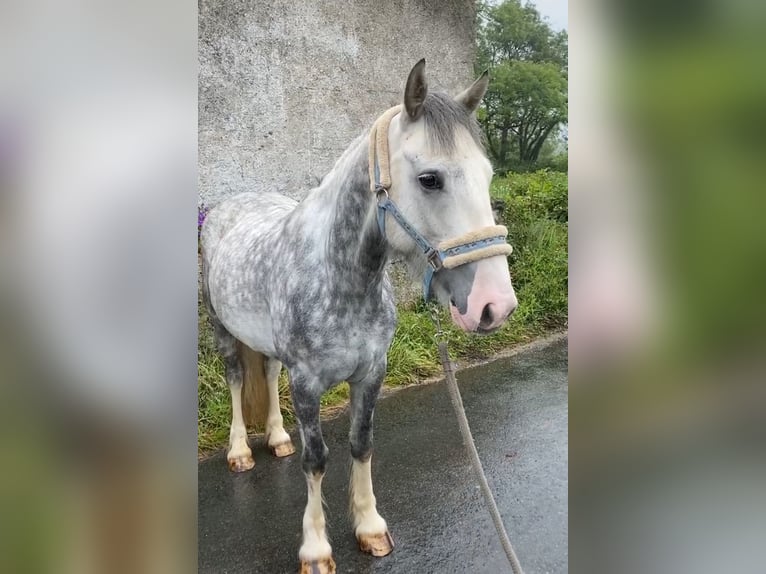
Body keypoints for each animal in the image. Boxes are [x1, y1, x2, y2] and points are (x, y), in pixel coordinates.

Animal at [201, 59, 520, 574]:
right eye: (429, 179)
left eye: (488, 176)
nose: (495, 305)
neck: (341, 278)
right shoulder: (307, 384)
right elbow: (316, 459)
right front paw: (315, 549)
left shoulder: (372, 373)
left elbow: (361, 443)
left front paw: (370, 528)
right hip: (222, 330)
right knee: (235, 379)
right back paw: (239, 452)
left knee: (265, 373)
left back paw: (277, 437)